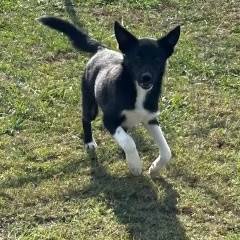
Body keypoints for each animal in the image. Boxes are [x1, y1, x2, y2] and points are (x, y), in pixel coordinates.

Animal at [38, 16, 180, 176]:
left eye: (157, 59)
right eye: (137, 58)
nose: (146, 78)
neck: (136, 91)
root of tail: (102, 49)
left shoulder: (150, 118)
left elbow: (166, 150)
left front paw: (155, 168)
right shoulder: (109, 120)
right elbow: (129, 142)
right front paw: (135, 164)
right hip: (91, 105)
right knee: (85, 118)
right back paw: (89, 142)